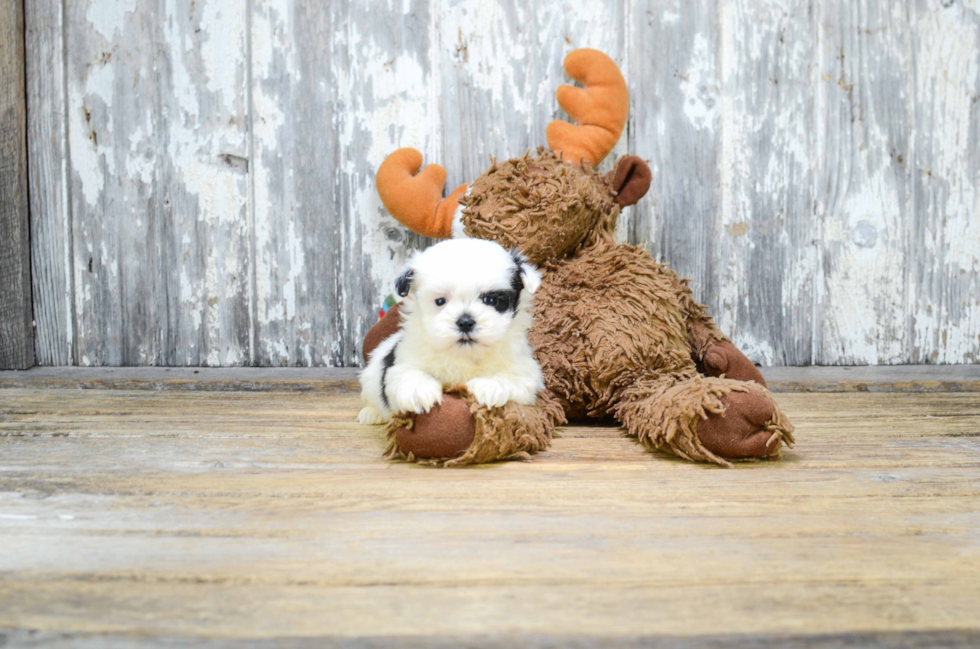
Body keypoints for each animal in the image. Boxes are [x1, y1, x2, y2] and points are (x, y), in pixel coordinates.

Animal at [358, 238, 544, 426]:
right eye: (440, 301)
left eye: (490, 300)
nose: (465, 322)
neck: (464, 354)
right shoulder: (404, 360)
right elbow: (407, 373)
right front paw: (420, 390)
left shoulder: (525, 370)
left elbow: (515, 378)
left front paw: (490, 386)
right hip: (370, 377)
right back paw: (371, 413)